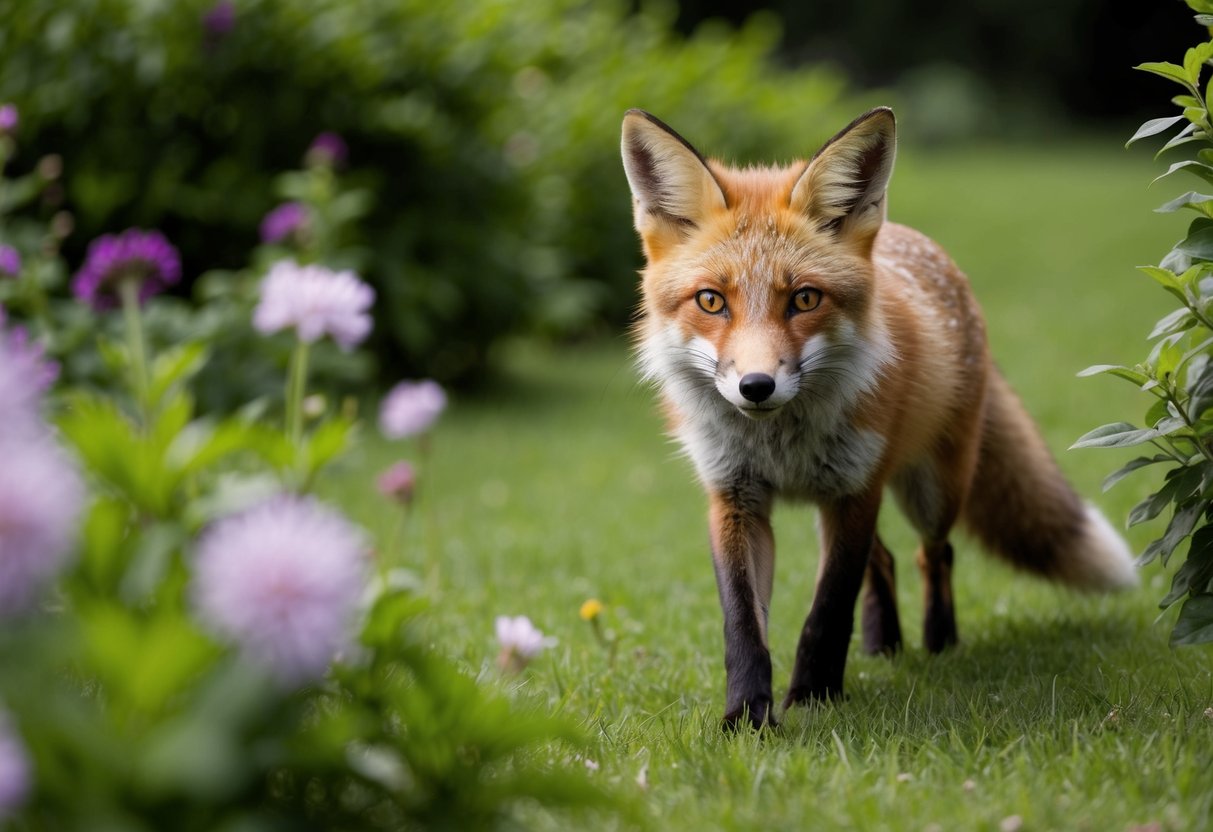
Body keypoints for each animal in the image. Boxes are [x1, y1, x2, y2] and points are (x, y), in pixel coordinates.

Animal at [620, 107, 1139, 730]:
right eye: (711, 301)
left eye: (804, 299)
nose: (756, 386)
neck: (780, 444)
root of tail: (910, 237)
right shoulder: (735, 498)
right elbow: (743, 624)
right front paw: (747, 718)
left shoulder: (855, 490)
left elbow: (827, 611)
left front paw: (813, 699)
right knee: (886, 559)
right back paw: (881, 643)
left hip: (930, 491)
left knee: (932, 553)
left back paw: (939, 643)